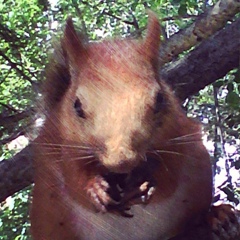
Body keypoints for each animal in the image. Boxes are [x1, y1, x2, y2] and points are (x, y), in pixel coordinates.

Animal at [31, 13, 213, 240]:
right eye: (76, 105)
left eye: (160, 99)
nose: (122, 160)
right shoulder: (64, 143)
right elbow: (73, 178)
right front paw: (95, 189)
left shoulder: (176, 132)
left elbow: (171, 174)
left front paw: (145, 184)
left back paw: (219, 216)